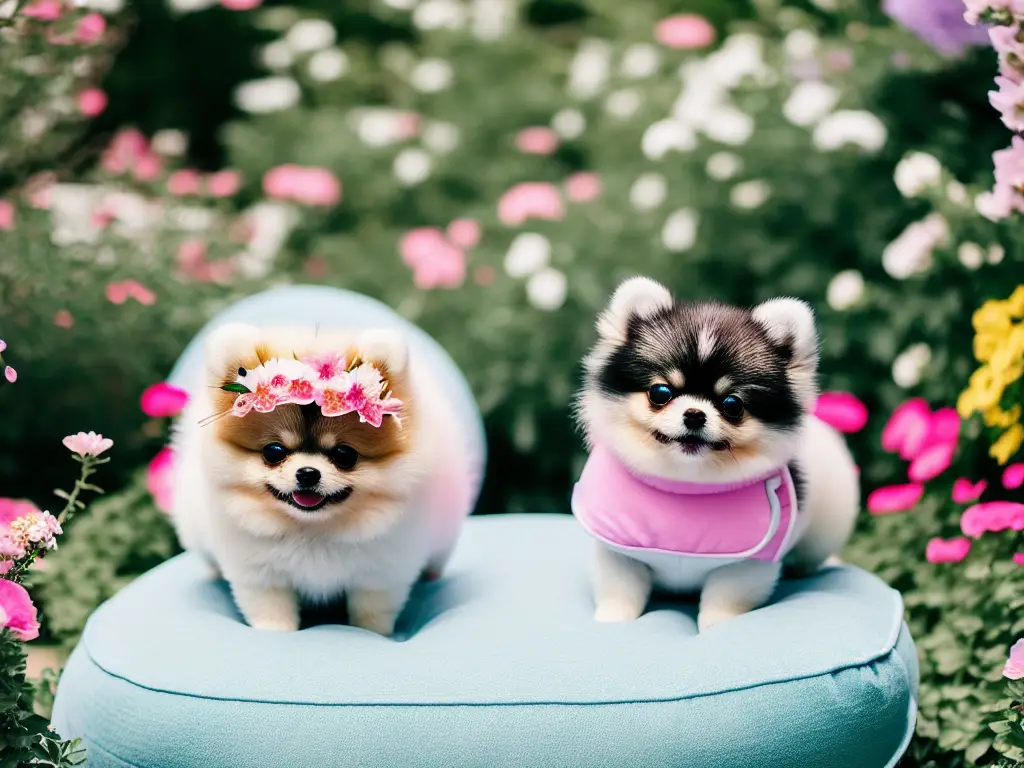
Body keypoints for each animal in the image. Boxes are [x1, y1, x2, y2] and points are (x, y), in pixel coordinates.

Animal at [172, 321, 475, 634]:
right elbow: (270, 609)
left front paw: (374, 635)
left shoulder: (380, 576)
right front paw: (275, 632)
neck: (314, 531)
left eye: (344, 455)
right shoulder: (261, 575)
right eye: (273, 451)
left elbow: (372, 612)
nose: (307, 473)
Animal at [573, 280, 860, 634]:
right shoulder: (619, 554)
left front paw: (716, 631)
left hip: (825, 528)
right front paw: (612, 624)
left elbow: (724, 603)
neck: (686, 482)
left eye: (732, 404)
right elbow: (619, 593)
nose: (694, 414)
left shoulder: (743, 567)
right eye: (661, 393)